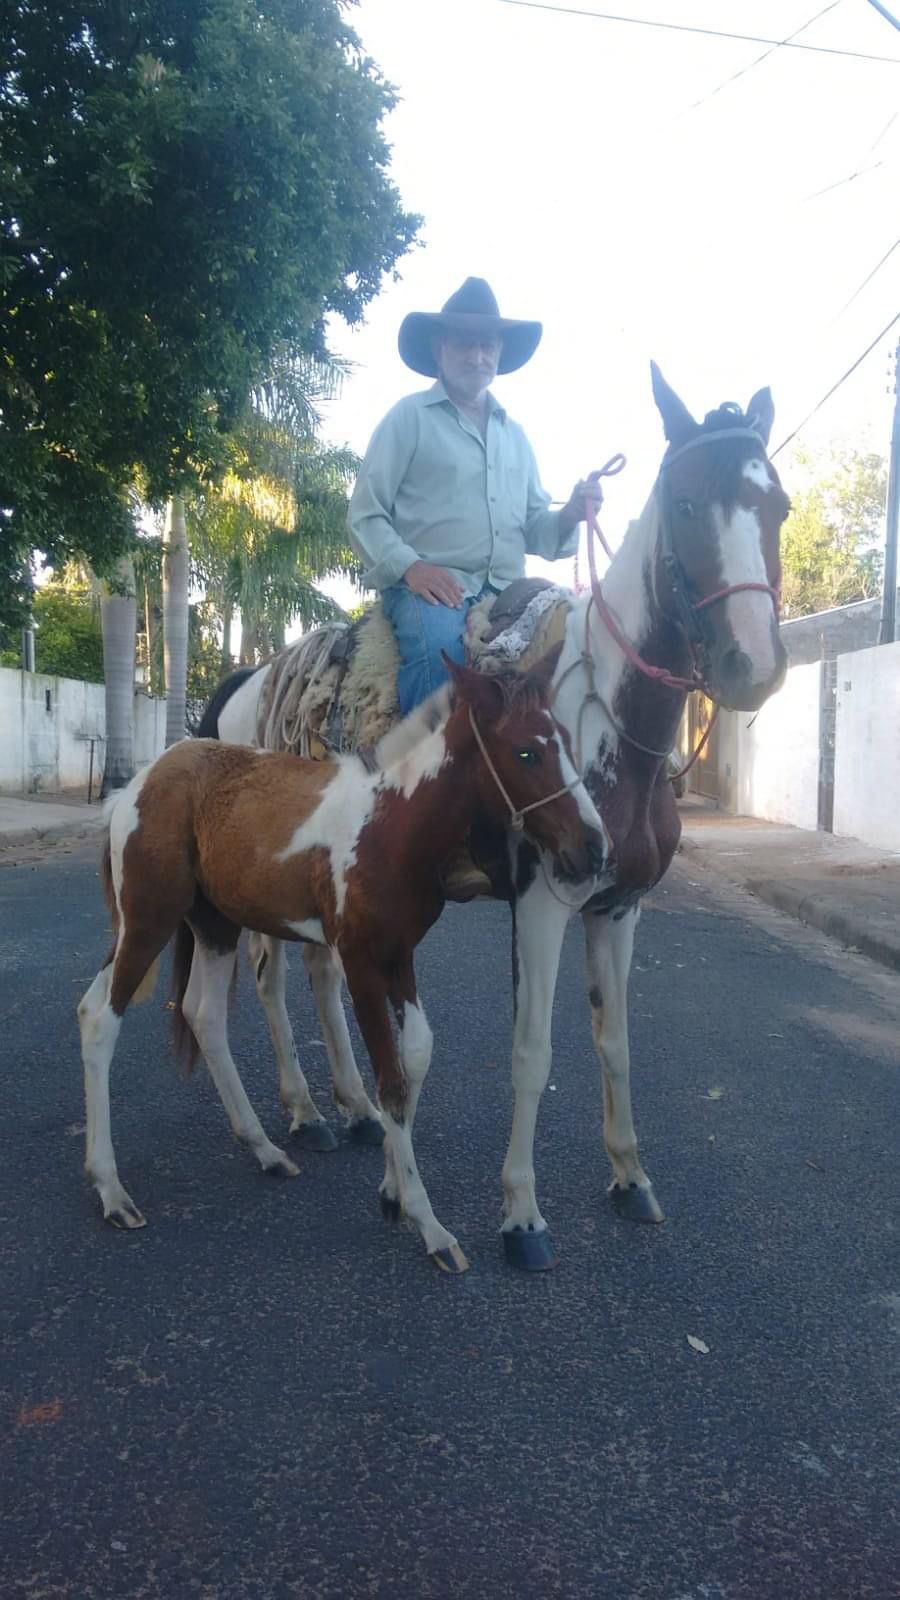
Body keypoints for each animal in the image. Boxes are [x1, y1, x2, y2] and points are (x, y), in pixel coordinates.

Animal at [78, 652, 602, 1273]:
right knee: (101, 1019)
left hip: (213, 924)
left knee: (198, 1016)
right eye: (526, 752)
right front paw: (429, 1225)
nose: (595, 848)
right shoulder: (358, 960)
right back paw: (111, 1190)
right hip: (149, 920)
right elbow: (390, 1082)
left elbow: (416, 1055)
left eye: (566, 738)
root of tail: (136, 785)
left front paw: (392, 1192)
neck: (390, 827)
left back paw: (264, 1149)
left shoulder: (399, 954)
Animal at [194, 368, 784, 1267]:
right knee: (269, 977)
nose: (750, 665)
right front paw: (521, 1217)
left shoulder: (620, 905)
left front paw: (630, 1177)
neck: (608, 724)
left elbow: (615, 1041)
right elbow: (532, 1051)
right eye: (685, 502)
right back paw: (302, 1112)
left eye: (776, 504)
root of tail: (252, 677)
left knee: (323, 972)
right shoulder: (543, 903)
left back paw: (355, 1109)